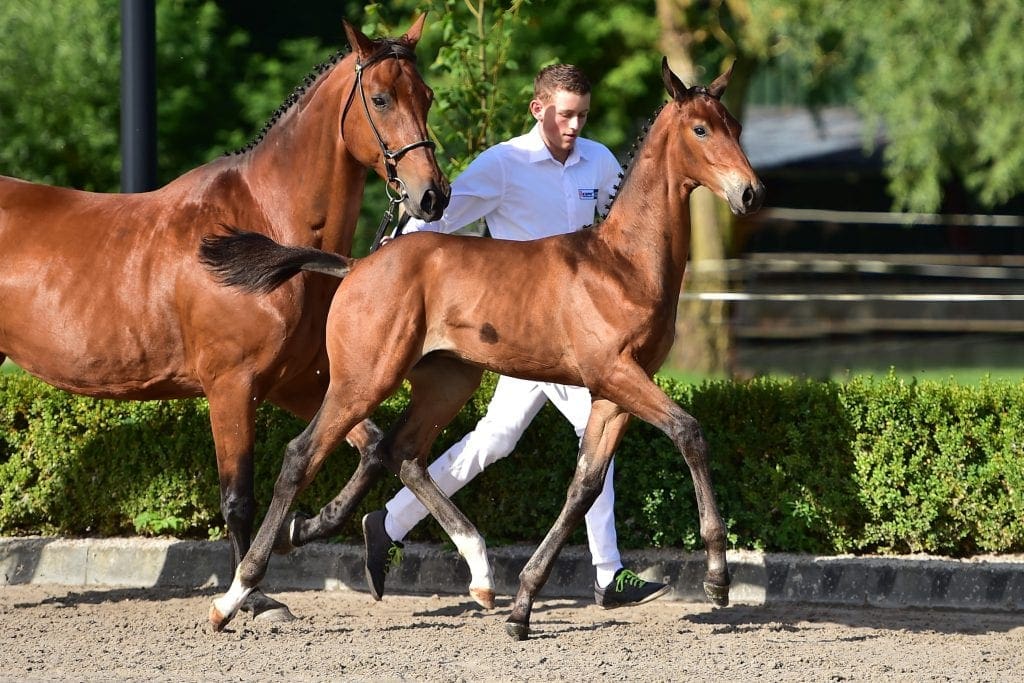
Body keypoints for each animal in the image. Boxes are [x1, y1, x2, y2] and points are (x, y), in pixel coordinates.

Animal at [0, 15, 448, 621]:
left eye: (426, 95)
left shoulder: (297, 383)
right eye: (380, 98)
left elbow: (370, 448)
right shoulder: (231, 386)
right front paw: (253, 598)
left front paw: (305, 529)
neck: (261, 226)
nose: (433, 195)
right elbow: (238, 495)